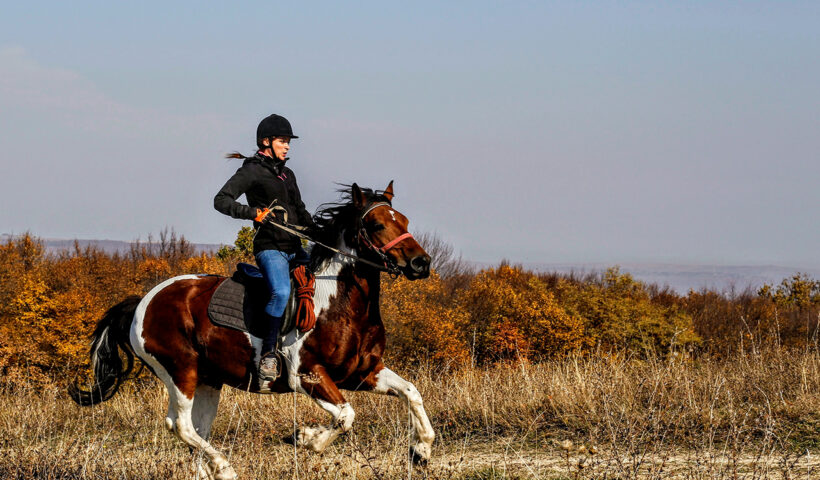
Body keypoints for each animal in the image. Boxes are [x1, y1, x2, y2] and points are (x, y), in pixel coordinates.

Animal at [70, 183, 436, 480]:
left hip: (208, 380)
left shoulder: (363, 372)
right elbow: (346, 415)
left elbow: (412, 393)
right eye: (377, 224)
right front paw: (306, 438)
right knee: (181, 426)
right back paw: (225, 468)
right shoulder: (307, 375)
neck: (339, 301)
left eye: (404, 221)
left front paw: (421, 451)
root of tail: (143, 302)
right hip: (180, 371)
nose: (421, 263)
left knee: (196, 432)